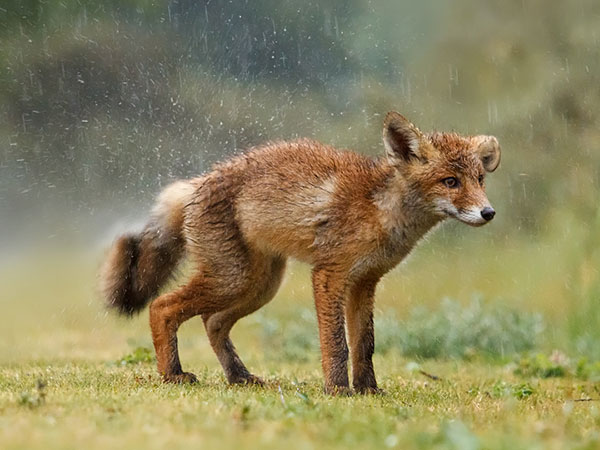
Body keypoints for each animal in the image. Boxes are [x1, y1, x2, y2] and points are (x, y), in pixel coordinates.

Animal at [101, 111, 500, 394]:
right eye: (450, 182)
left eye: (479, 180)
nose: (488, 212)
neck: (380, 211)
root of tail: (198, 182)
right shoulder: (329, 274)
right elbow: (337, 343)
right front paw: (338, 390)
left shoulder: (364, 282)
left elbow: (365, 344)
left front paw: (368, 390)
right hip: (232, 279)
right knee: (162, 307)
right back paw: (173, 374)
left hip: (260, 285)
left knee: (213, 323)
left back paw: (239, 376)